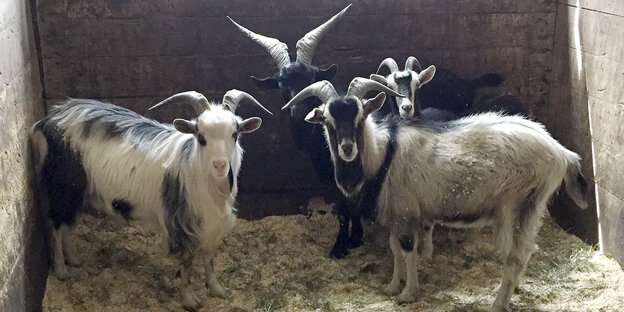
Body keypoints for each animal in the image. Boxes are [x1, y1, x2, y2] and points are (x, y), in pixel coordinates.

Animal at [229, 5, 366, 258]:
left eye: (312, 78)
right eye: (281, 83)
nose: (298, 109)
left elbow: (348, 205)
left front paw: (342, 245)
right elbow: (346, 205)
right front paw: (353, 239)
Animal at [286, 77, 588, 310]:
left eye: (361, 117)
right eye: (327, 120)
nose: (348, 148)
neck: (383, 154)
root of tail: (562, 153)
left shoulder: (406, 212)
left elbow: (408, 251)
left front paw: (408, 294)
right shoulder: (396, 215)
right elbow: (394, 249)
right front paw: (391, 286)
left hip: (518, 206)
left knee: (515, 256)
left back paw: (498, 303)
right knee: (521, 254)